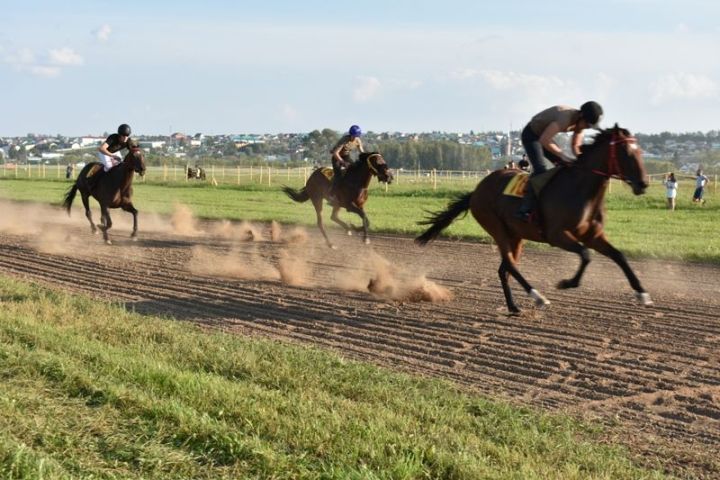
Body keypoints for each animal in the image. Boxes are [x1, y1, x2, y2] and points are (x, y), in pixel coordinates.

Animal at [414, 124, 656, 314]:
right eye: (626, 152)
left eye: (640, 151)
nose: (643, 183)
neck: (581, 190)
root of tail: (476, 191)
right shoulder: (557, 235)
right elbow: (586, 255)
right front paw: (567, 283)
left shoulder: (592, 235)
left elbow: (619, 256)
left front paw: (642, 294)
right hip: (496, 228)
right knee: (510, 265)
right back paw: (537, 296)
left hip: (516, 235)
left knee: (504, 269)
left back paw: (513, 306)